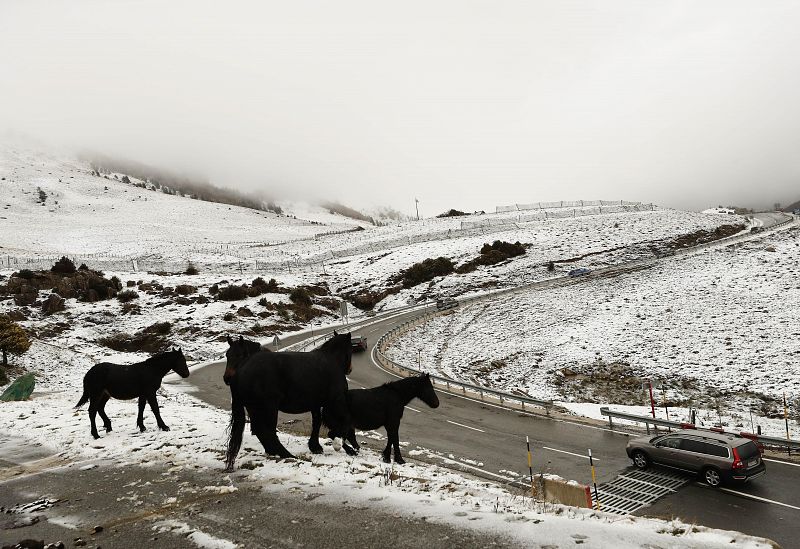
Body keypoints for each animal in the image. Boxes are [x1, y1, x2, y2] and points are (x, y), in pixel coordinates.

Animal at [223, 332, 352, 468]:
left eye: (238, 354)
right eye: (350, 350)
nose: (226, 378)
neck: (331, 361)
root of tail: (240, 371)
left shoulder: (315, 404)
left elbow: (317, 422)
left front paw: (315, 446)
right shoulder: (335, 401)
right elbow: (344, 421)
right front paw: (343, 446)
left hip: (255, 408)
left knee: (261, 431)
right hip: (269, 408)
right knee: (267, 431)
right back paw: (286, 454)